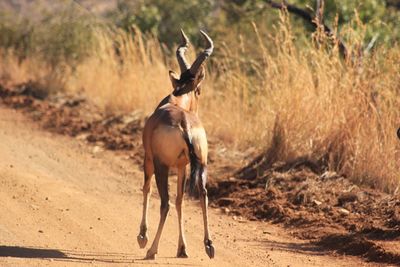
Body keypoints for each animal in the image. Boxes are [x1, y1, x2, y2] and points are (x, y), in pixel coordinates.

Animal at [136, 30, 214, 260]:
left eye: (198, 90)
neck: (175, 101)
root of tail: (184, 123)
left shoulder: (149, 159)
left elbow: (146, 189)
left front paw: (142, 237)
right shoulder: (183, 166)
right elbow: (181, 201)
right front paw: (182, 248)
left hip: (161, 166)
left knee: (165, 203)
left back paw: (151, 249)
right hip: (201, 164)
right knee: (202, 195)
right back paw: (209, 246)